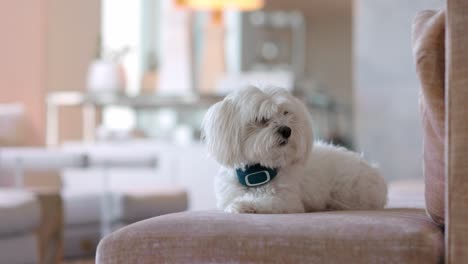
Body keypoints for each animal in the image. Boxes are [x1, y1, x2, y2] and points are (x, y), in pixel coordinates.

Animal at [201, 86, 388, 214]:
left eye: (286, 113)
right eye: (262, 119)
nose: (286, 130)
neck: (257, 172)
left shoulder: (286, 200)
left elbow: (265, 201)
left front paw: (245, 204)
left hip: (349, 191)